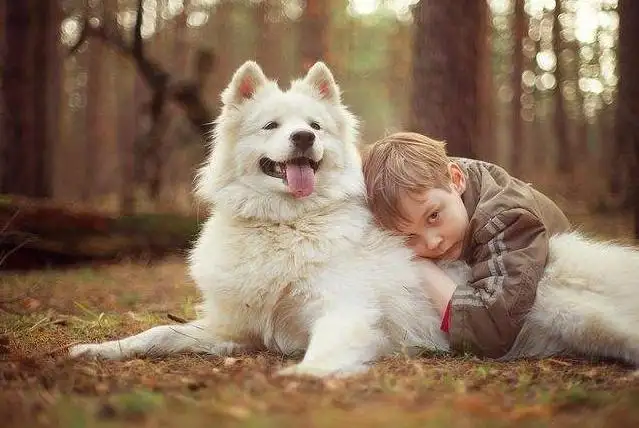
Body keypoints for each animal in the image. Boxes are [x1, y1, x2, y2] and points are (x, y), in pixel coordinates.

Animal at [69, 61, 639, 378]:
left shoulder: (343, 311)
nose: (303, 138)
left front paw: (304, 377)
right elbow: (156, 335)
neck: (286, 225)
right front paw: (100, 348)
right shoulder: (237, 329)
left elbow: (324, 348)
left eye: (315, 126)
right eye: (272, 126)